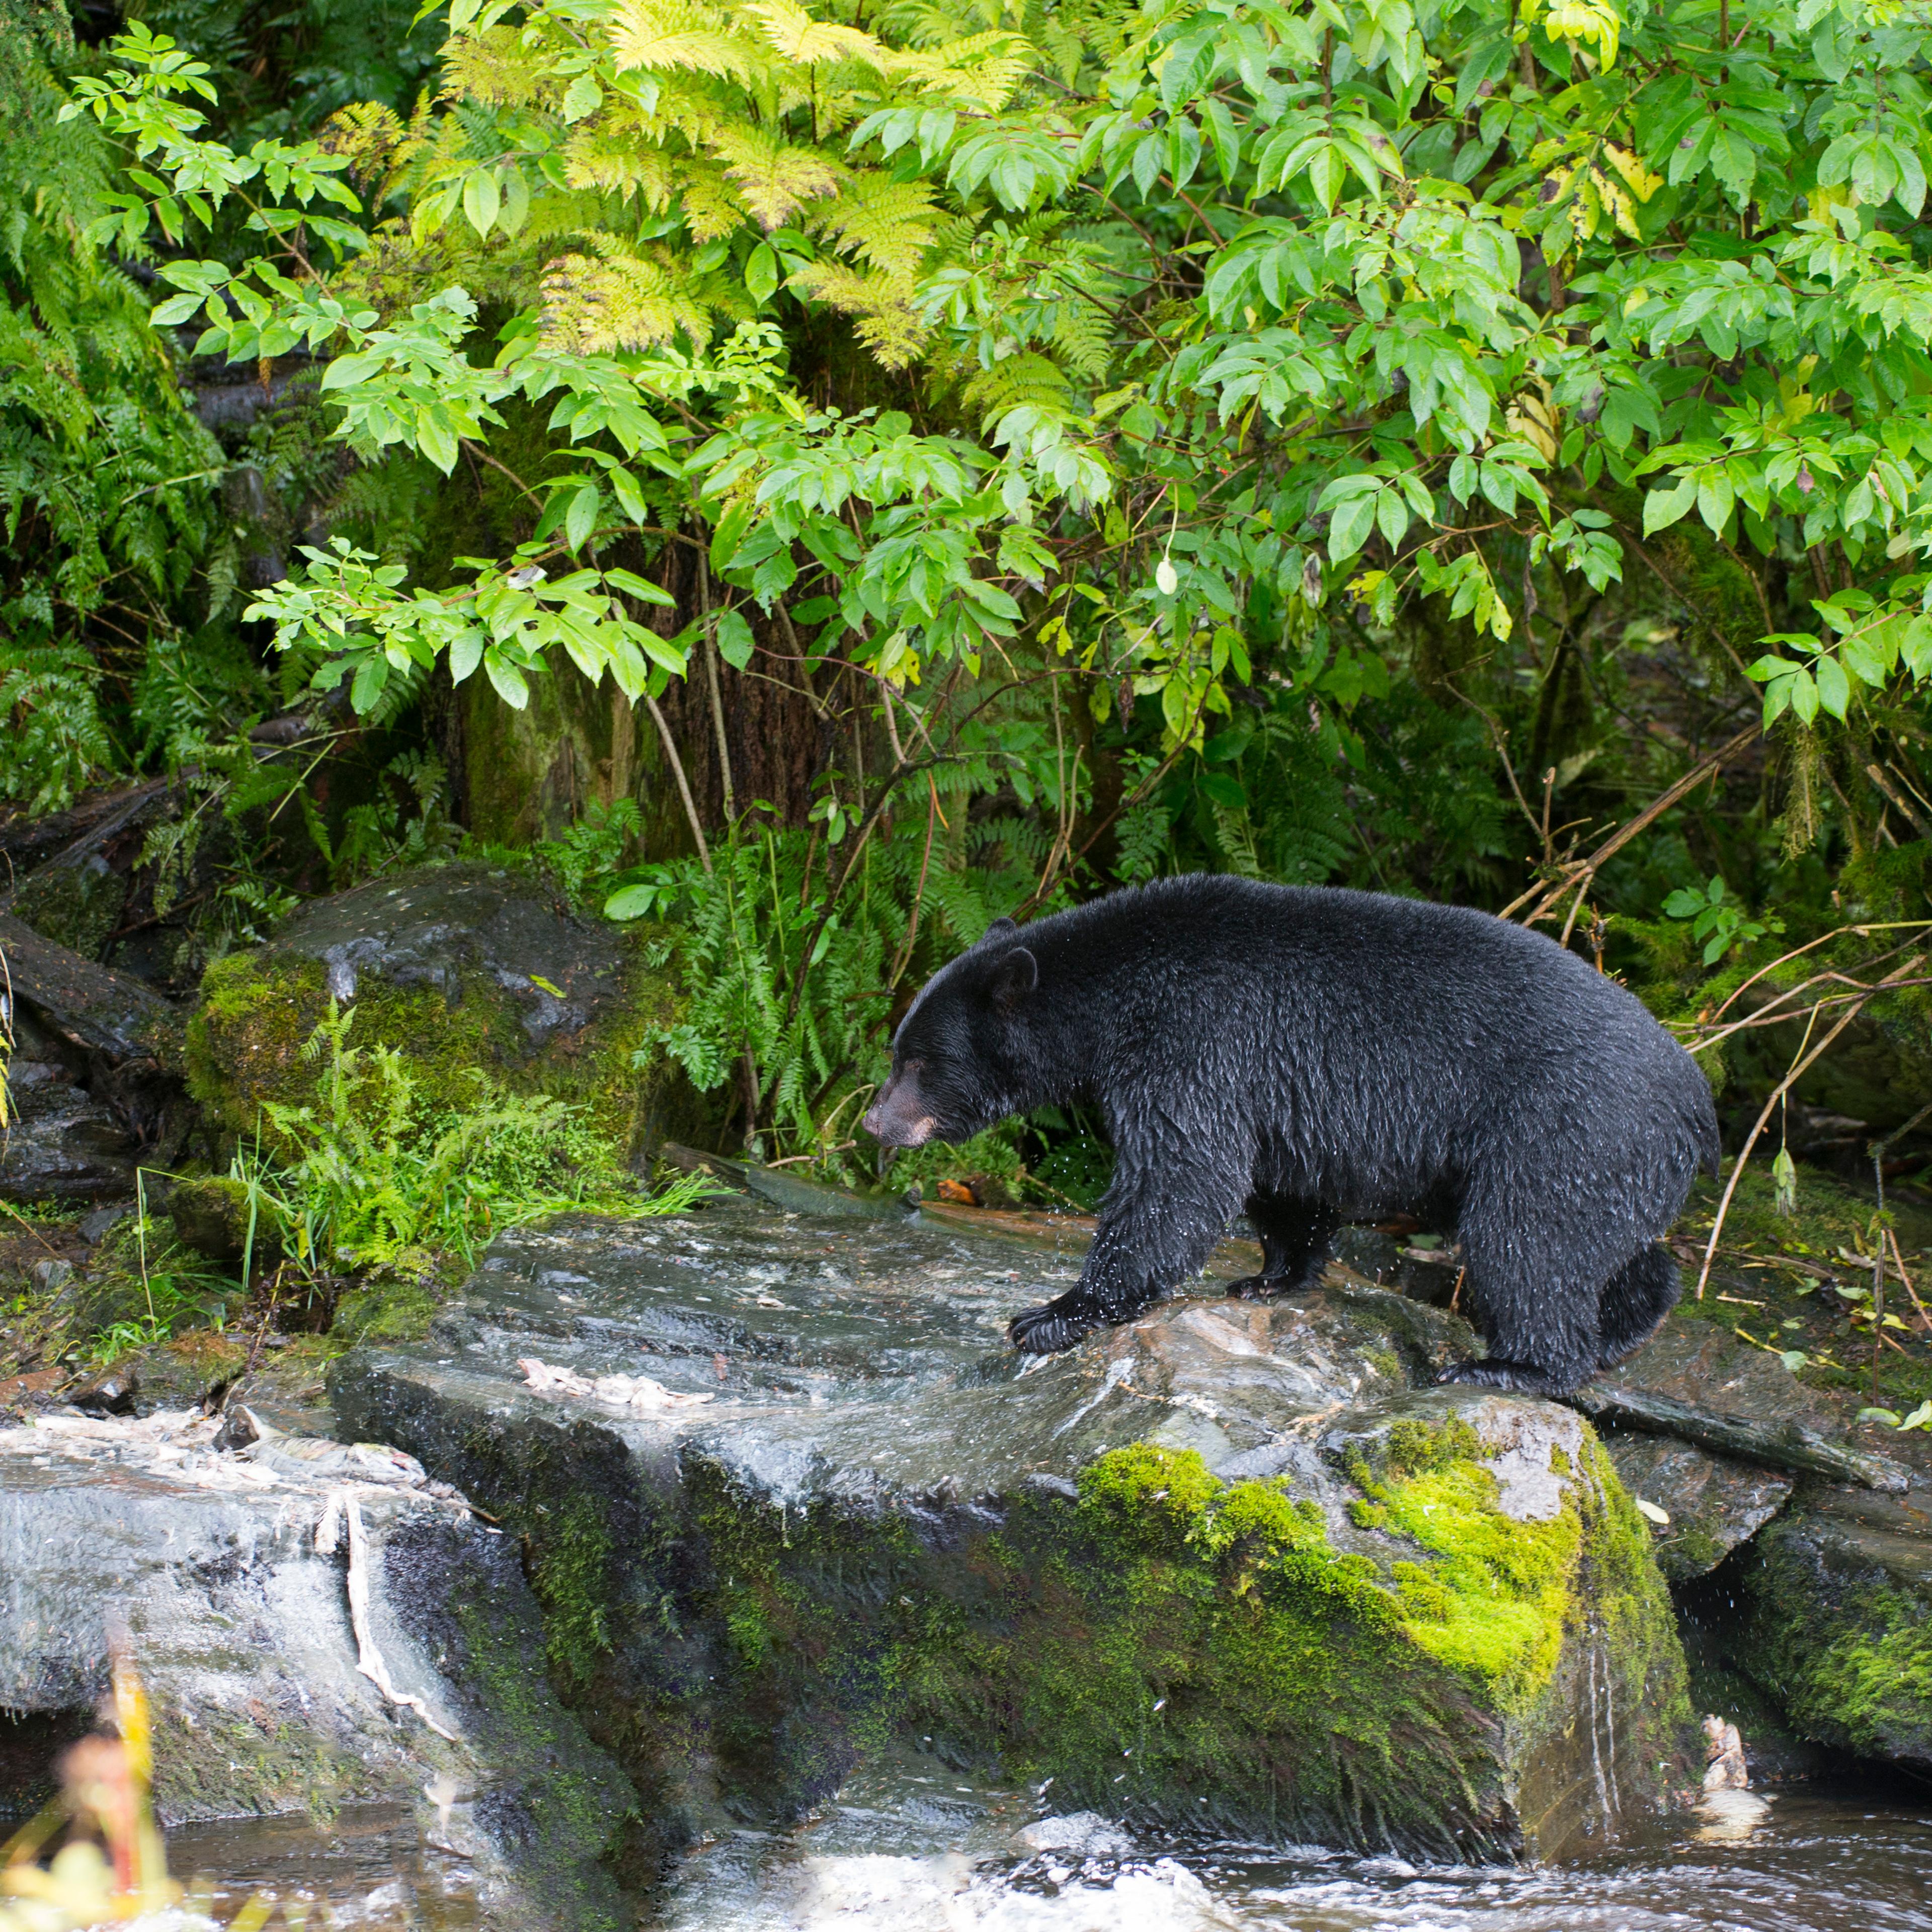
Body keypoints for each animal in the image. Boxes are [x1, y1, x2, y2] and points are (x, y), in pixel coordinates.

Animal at [860, 874, 1718, 1396]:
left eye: (919, 1061)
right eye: (900, 1047)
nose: (874, 1120)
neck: (1114, 993)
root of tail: (1697, 1101)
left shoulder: (1194, 1036)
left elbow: (1180, 1176)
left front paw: (1054, 1313)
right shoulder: (1267, 1082)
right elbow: (1278, 1182)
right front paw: (1272, 1277)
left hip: (1566, 1126)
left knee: (1528, 1239)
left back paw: (1511, 1367)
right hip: (1610, 1157)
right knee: (1602, 1245)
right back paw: (1627, 1328)